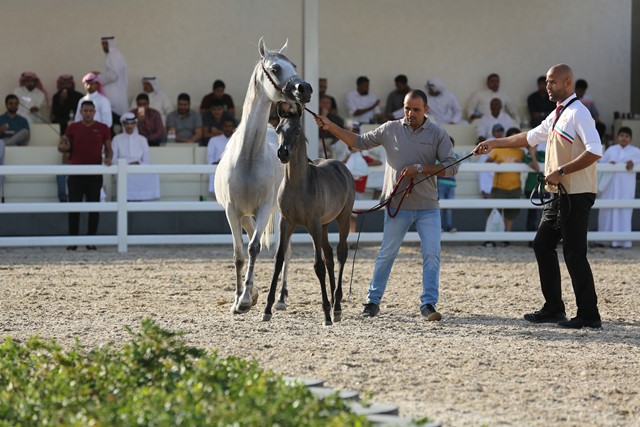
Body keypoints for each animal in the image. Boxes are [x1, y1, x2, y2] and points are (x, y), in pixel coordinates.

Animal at [214, 38, 312, 314]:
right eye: (275, 68)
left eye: (294, 65)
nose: (305, 89)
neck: (247, 157)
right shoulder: (232, 210)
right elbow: (239, 254)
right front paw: (239, 298)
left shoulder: (265, 208)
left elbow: (255, 248)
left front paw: (246, 299)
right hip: (247, 215)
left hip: (276, 213)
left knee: (285, 252)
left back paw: (280, 298)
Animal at [262, 103, 356, 326]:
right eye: (278, 129)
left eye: (297, 131)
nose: (282, 153)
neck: (298, 185)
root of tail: (340, 165)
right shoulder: (286, 223)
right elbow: (279, 260)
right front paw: (267, 309)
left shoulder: (312, 225)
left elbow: (318, 265)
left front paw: (326, 314)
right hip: (324, 225)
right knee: (329, 255)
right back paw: (334, 301)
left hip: (342, 218)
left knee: (340, 253)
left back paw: (336, 306)